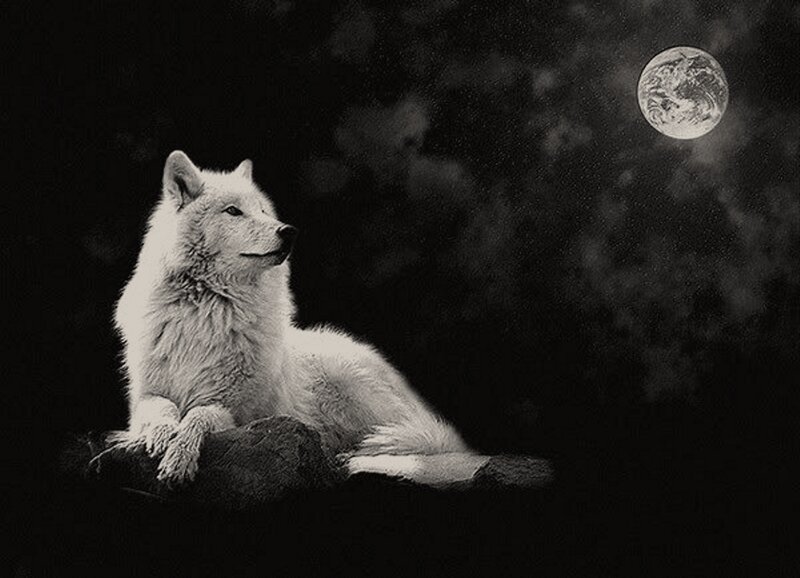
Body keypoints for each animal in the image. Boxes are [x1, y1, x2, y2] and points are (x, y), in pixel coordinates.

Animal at [110, 150, 489, 486]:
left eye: (264, 211)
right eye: (233, 211)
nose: (288, 231)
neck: (209, 311)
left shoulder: (238, 410)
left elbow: (198, 418)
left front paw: (179, 457)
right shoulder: (145, 396)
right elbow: (160, 411)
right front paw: (161, 439)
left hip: (351, 385)